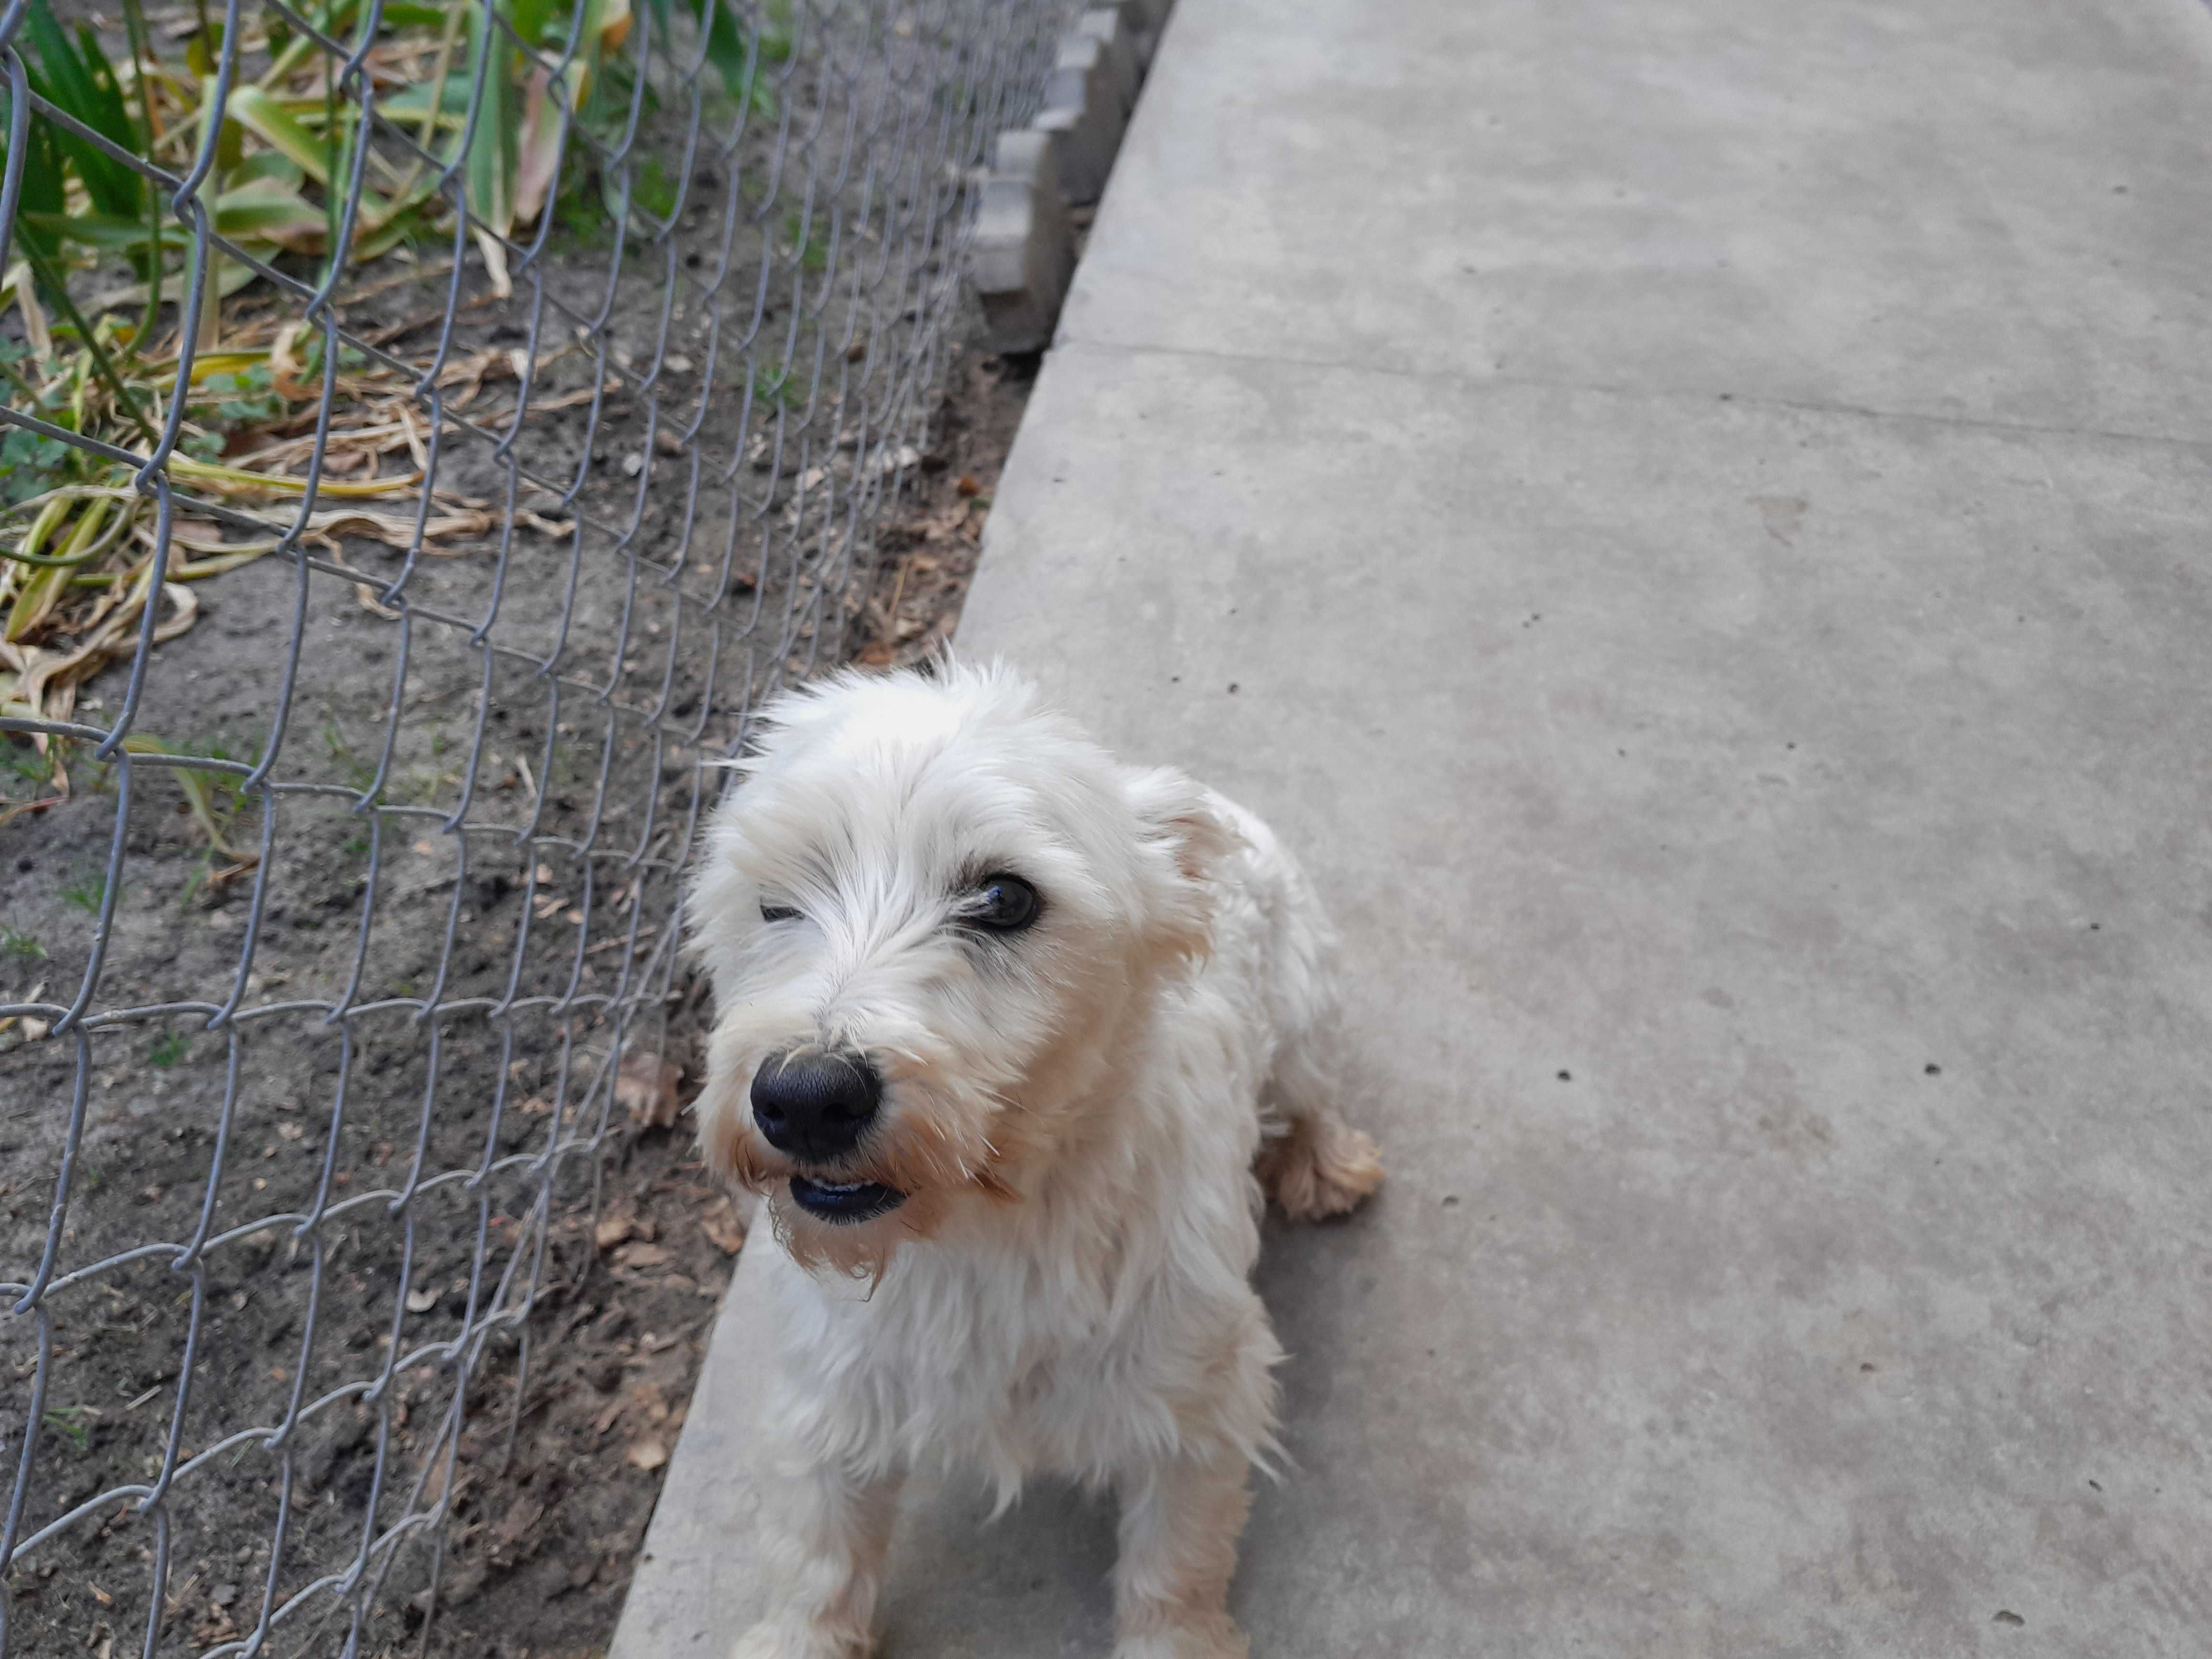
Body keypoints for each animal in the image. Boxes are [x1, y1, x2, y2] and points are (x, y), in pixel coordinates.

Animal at [690, 668, 1380, 1659]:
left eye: (1005, 899)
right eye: (773, 902)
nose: (805, 1099)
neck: (987, 1228)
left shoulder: (1197, 1400)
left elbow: (1174, 1564)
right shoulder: (831, 1393)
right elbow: (817, 1551)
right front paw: (801, 1634)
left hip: (1303, 1016)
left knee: (1314, 1094)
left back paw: (1325, 1165)